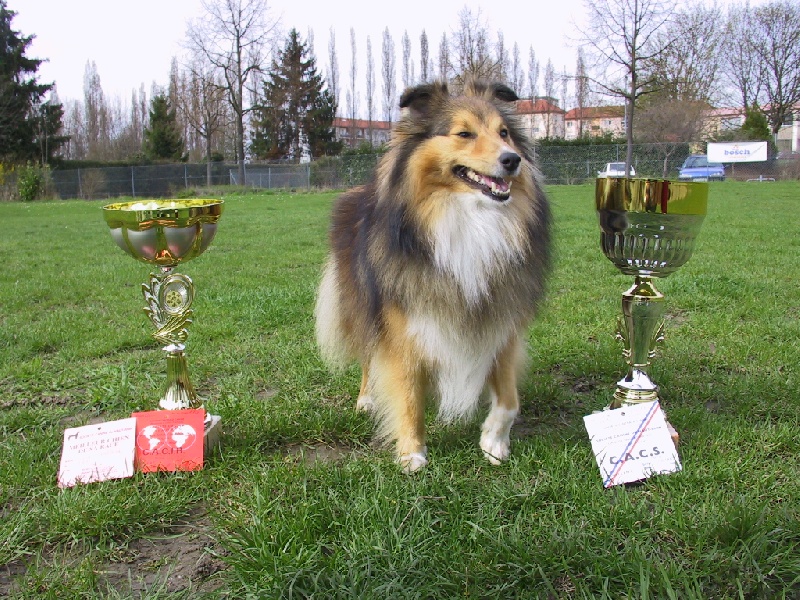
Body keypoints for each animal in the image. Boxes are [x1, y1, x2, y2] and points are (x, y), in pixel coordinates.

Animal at [314, 79, 552, 472]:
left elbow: (509, 399)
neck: (467, 214)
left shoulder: (501, 320)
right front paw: (412, 454)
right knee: (367, 355)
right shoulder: (402, 327)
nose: (512, 160)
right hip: (365, 303)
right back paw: (366, 399)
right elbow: (409, 394)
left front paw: (493, 442)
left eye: (504, 133)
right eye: (464, 133)